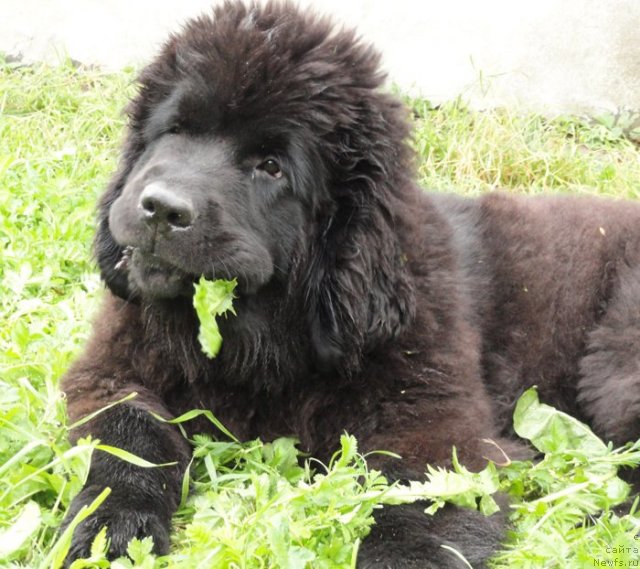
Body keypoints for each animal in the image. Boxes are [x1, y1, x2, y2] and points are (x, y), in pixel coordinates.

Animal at [61, 2, 640, 564]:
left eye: (271, 166)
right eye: (175, 131)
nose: (161, 208)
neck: (259, 340)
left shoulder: (433, 424)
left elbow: (419, 504)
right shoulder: (112, 369)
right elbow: (128, 437)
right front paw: (111, 527)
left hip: (616, 361)